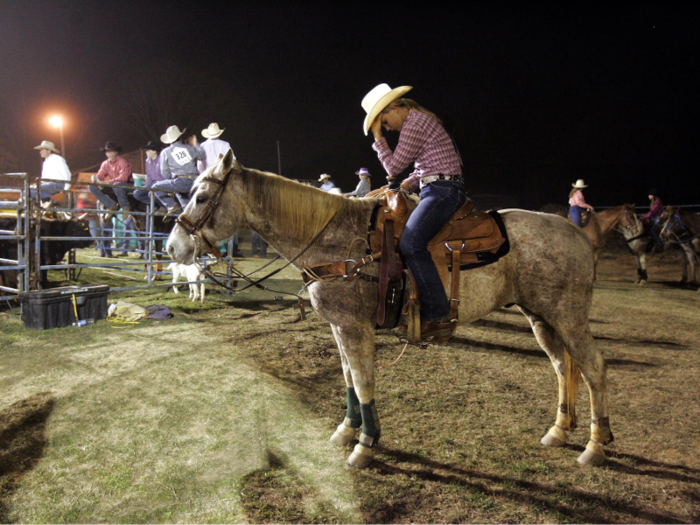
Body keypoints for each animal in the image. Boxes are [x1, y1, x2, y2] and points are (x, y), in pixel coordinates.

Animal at [165, 150, 612, 466]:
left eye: (201, 196)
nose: (173, 248)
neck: (336, 241)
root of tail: (575, 233)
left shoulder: (354, 327)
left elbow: (364, 383)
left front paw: (365, 445)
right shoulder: (339, 327)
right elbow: (348, 379)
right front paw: (347, 431)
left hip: (568, 316)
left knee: (592, 366)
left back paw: (595, 444)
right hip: (540, 316)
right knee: (562, 366)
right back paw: (559, 430)